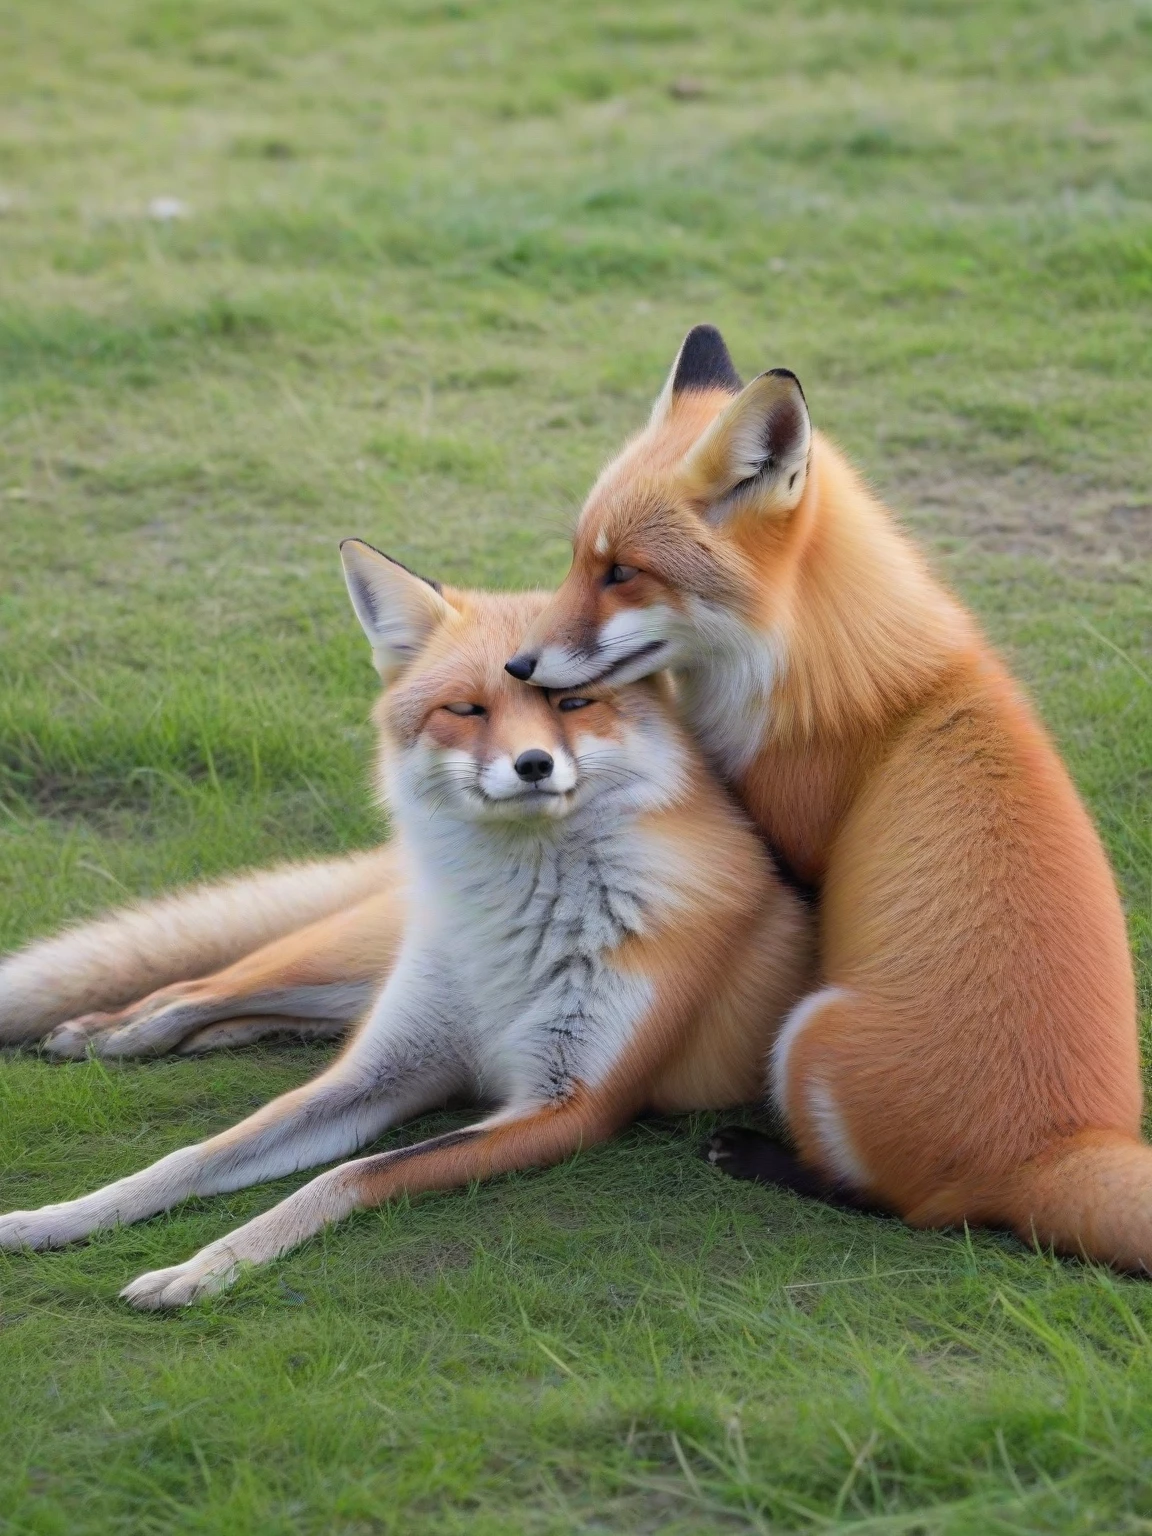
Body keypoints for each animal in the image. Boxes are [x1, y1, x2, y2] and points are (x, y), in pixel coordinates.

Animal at [0, 540, 812, 1306]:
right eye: (468, 710)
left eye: (572, 704)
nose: (534, 764)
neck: (511, 930)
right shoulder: (388, 1069)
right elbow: (195, 1155)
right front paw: (61, 1217)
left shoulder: (569, 1107)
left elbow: (347, 1174)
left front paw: (206, 1268)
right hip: (339, 967)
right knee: (196, 990)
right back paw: (110, 1033)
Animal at [506, 324, 1148, 1273]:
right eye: (579, 560)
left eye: (623, 572)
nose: (518, 666)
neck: (825, 673)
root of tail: (1062, 1150)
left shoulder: (793, 843)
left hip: (809, 1036)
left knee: (899, 1208)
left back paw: (760, 1156)